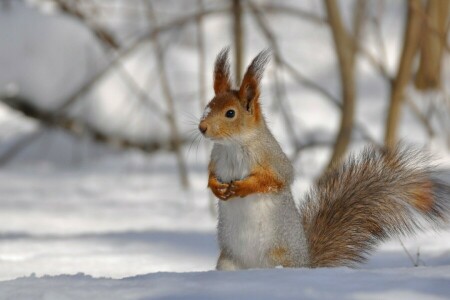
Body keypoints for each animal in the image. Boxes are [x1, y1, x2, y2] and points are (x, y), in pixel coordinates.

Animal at [199, 47, 450, 270]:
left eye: (230, 113)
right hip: (228, 262)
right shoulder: (216, 158)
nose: (202, 128)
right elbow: (211, 175)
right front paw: (216, 187)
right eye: (208, 106)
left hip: (278, 257)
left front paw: (242, 187)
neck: (233, 145)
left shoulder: (272, 158)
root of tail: (307, 265)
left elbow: (276, 179)